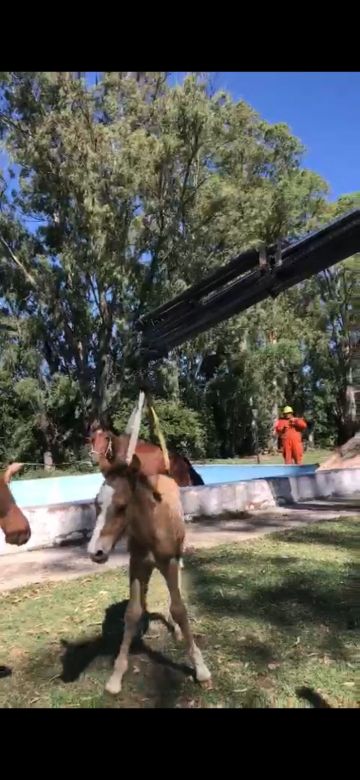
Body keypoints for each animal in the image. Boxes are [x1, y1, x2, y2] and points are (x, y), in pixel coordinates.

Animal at [89, 450, 211, 696]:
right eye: (96, 504)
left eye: (122, 506)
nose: (95, 552)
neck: (151, 531)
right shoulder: (137, 565)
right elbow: (132, 612)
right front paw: (116, 675)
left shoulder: (169, 563)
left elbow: (179, 609)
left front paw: (200, 669)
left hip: (177, 554)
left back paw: (176, 630)